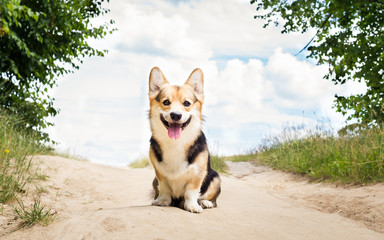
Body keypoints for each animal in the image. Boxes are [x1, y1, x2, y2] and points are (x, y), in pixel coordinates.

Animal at [148, 66, 220, 213]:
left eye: (186, 103)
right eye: (166, 102)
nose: (176, 115)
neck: (176, 143)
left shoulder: (197, 174)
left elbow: (191, 192)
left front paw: (192, 205)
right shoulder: (159, 174)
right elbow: (164, 187)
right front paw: (163, 201)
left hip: (216, 178)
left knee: (211, 199)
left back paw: (205, 203)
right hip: (154, 181)